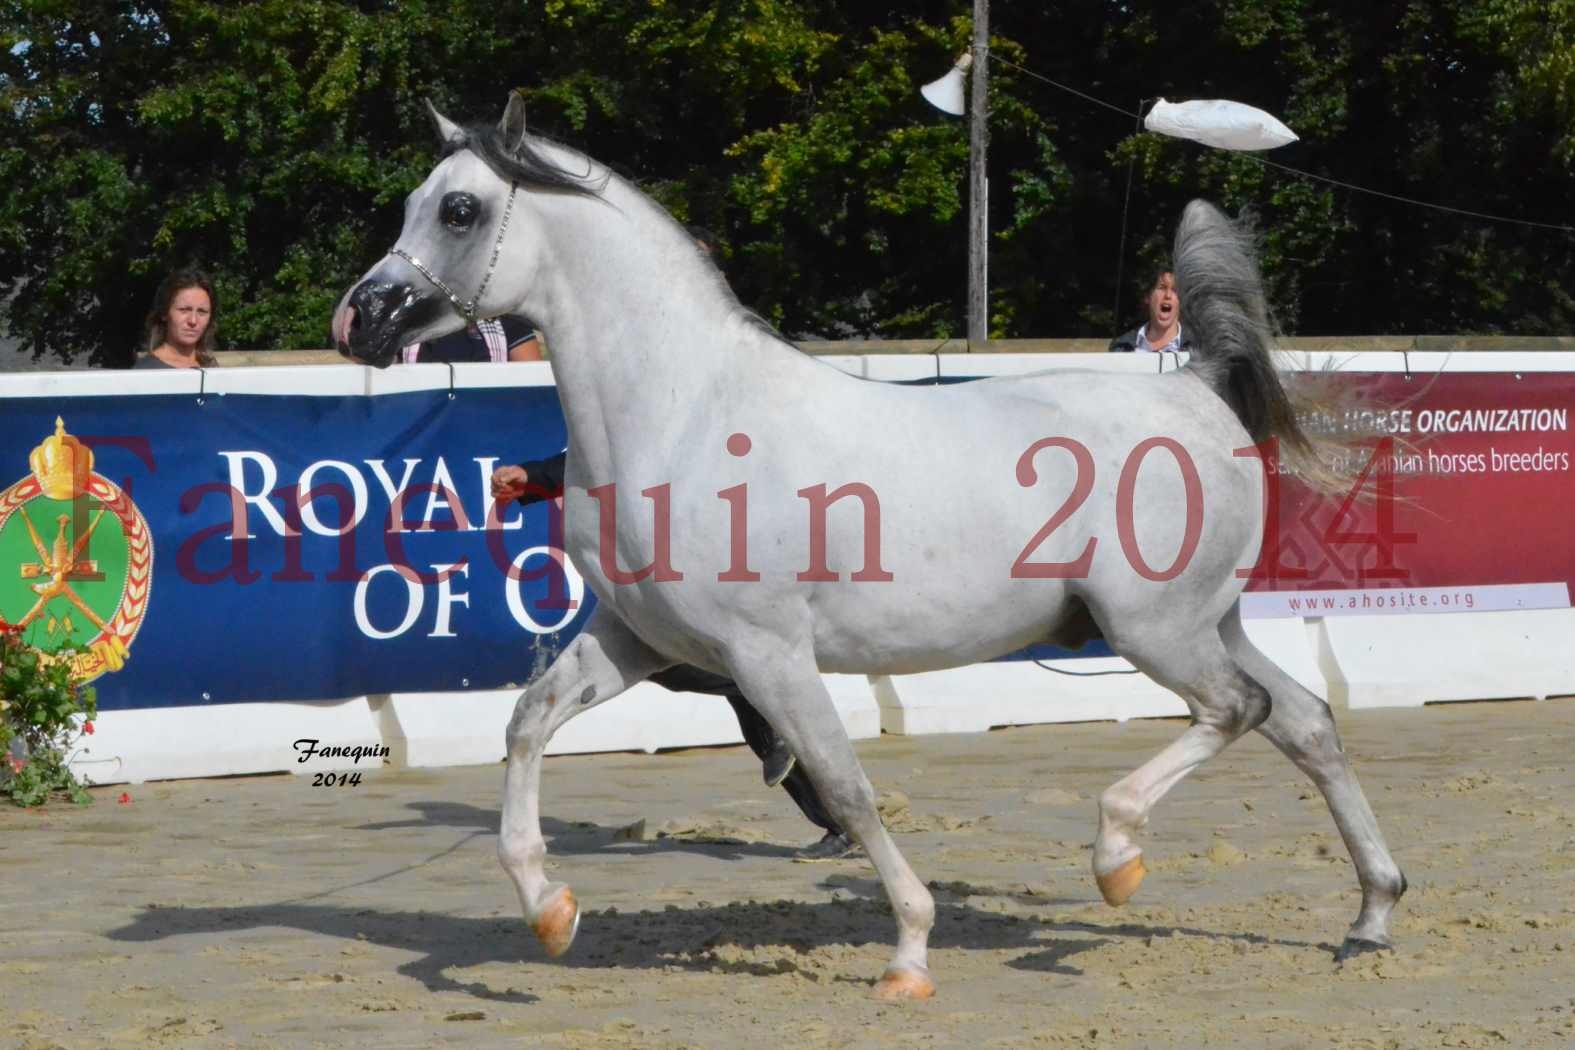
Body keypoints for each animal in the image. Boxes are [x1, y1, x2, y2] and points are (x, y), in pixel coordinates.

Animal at [332, 94, 1404, 1001]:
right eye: (416, 203)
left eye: (460, 209)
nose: (360, 320)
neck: (682, 413)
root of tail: (1193, 389)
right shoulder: (638, 642)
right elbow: (525, 722)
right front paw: (549, 910)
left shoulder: (768, 655)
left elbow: (845, 789)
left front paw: (910, 954)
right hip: (1206, 623)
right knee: (1306, 721)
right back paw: (1369, 917)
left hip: (1154, 631)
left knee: (1239, 709)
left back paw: (1117, 859)